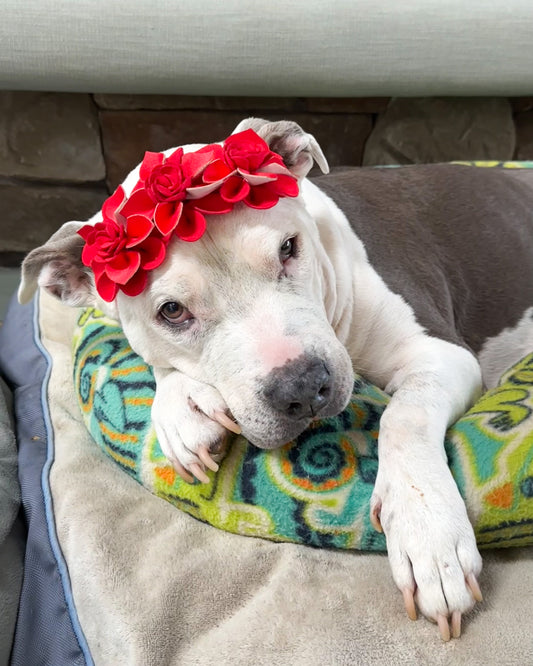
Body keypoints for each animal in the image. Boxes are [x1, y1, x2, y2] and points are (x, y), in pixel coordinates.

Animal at [18, 118, 532, 640]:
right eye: (172, 311)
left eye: (288, 248)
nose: (303, 387)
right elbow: (163, 364)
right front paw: (184, 409)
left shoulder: (443, 355)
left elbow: (404, 418)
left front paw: (428, 533)